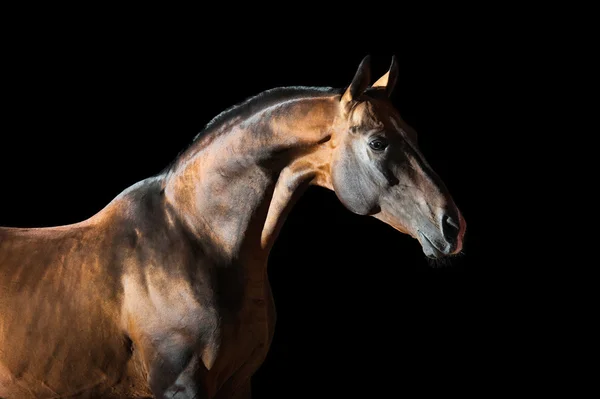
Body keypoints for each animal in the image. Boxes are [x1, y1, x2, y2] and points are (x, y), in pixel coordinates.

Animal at [0, 54, 466, 398]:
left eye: (414, 134)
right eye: (378, 142)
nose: (452, 227)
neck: (195, 240)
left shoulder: (237, 384)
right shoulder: (181, 387)